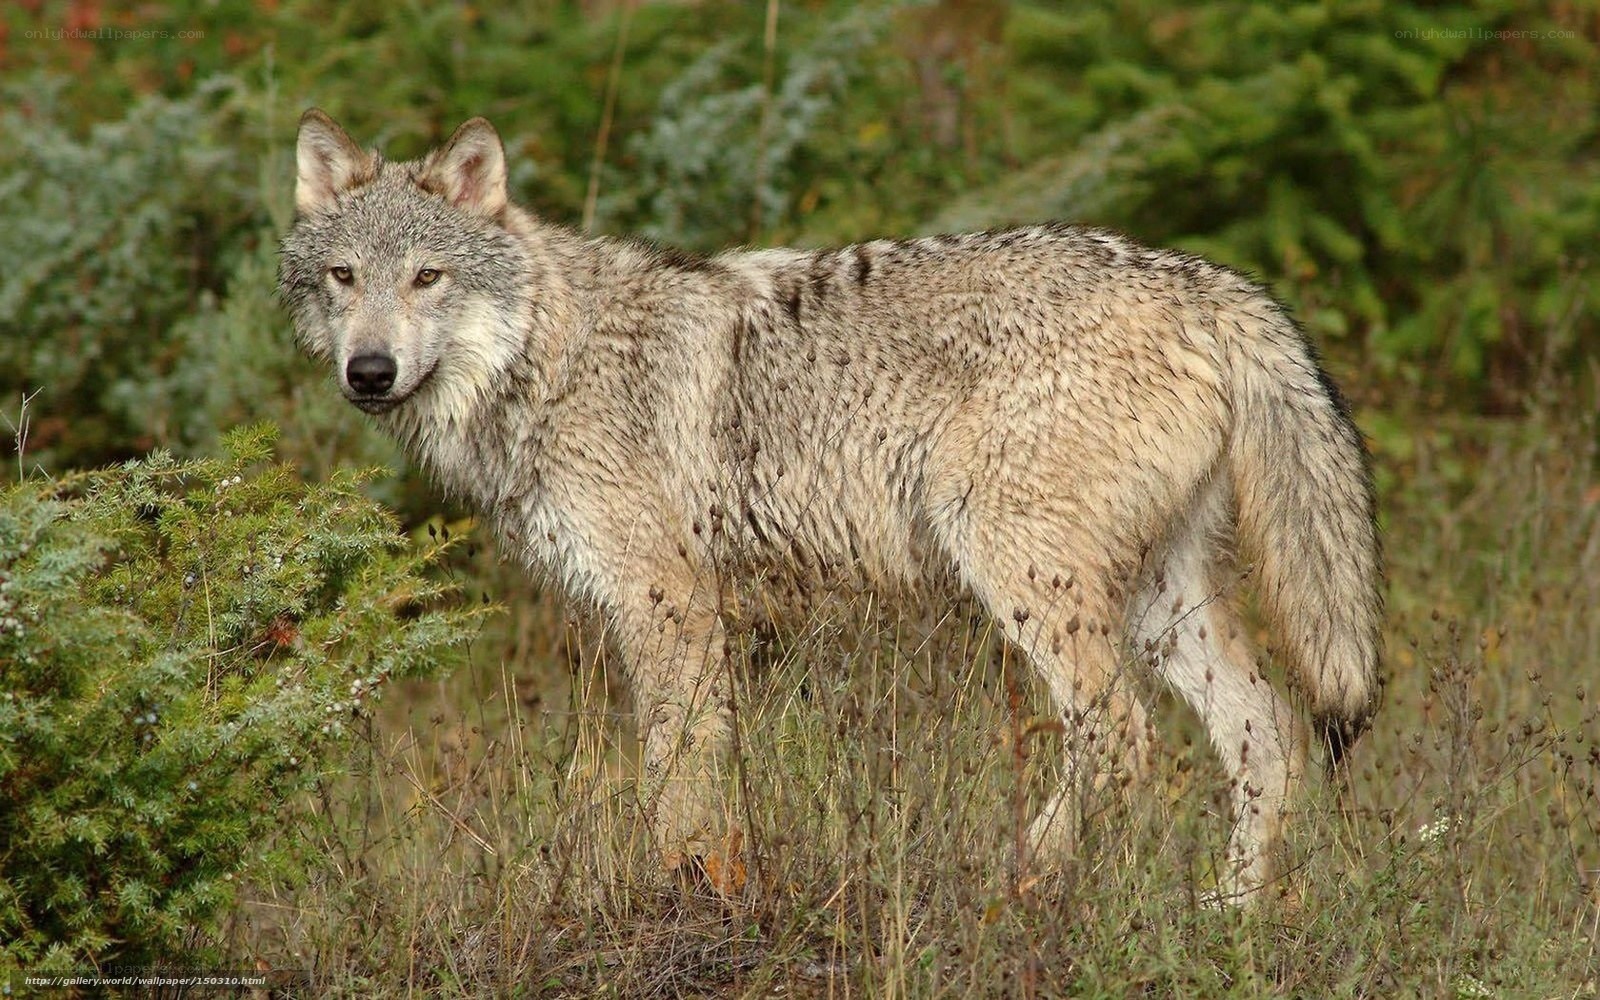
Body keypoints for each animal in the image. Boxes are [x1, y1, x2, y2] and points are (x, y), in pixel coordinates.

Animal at [279, 110, 1382, 900]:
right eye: (344, 278)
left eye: (429, 277)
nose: (368, 372)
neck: (547, 358)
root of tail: (1209, 282)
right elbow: (709, 778)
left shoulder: (669, 605)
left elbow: (675, 779)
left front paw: (679, 895)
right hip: (1160, 604)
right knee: (1271, 737)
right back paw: (1226, 926)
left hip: (1023, 573)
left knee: (1122, 736)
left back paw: (1026, 877)